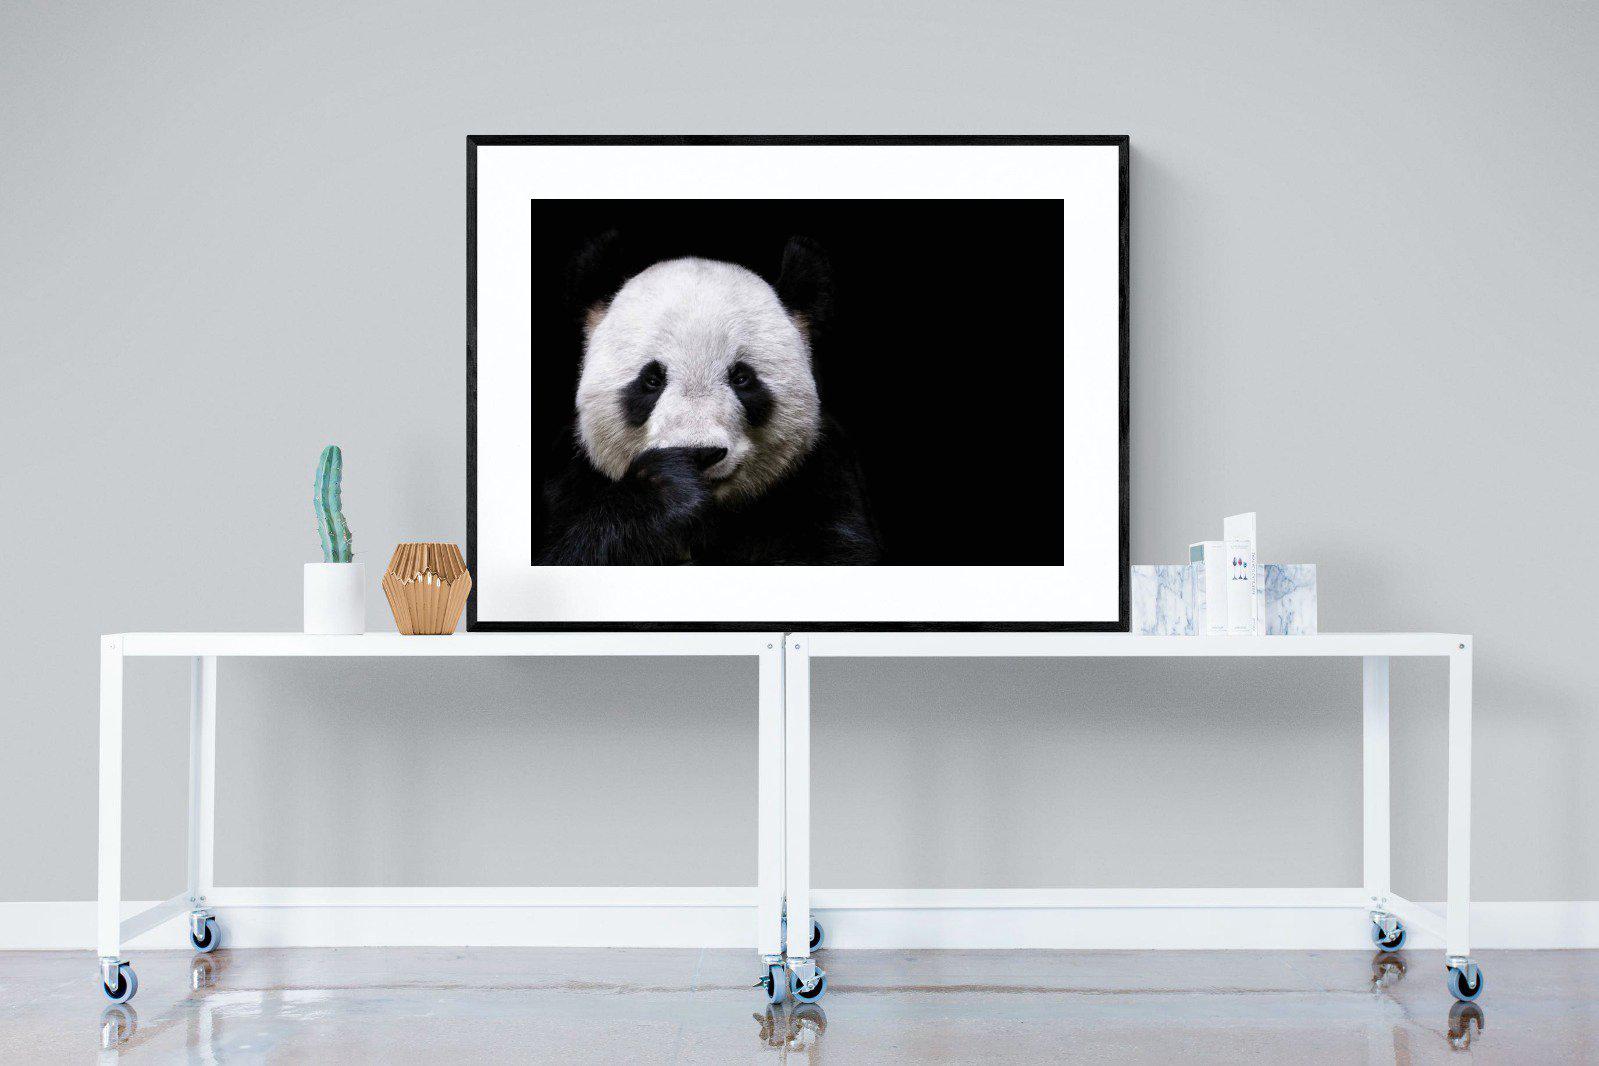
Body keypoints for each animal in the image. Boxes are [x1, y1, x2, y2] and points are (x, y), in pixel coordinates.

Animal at [536, 234, 883, 566]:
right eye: (651, 380)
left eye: (742, 378)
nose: (700, 453)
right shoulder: (569, 481)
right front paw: (665, 488)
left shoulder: (823, 478)